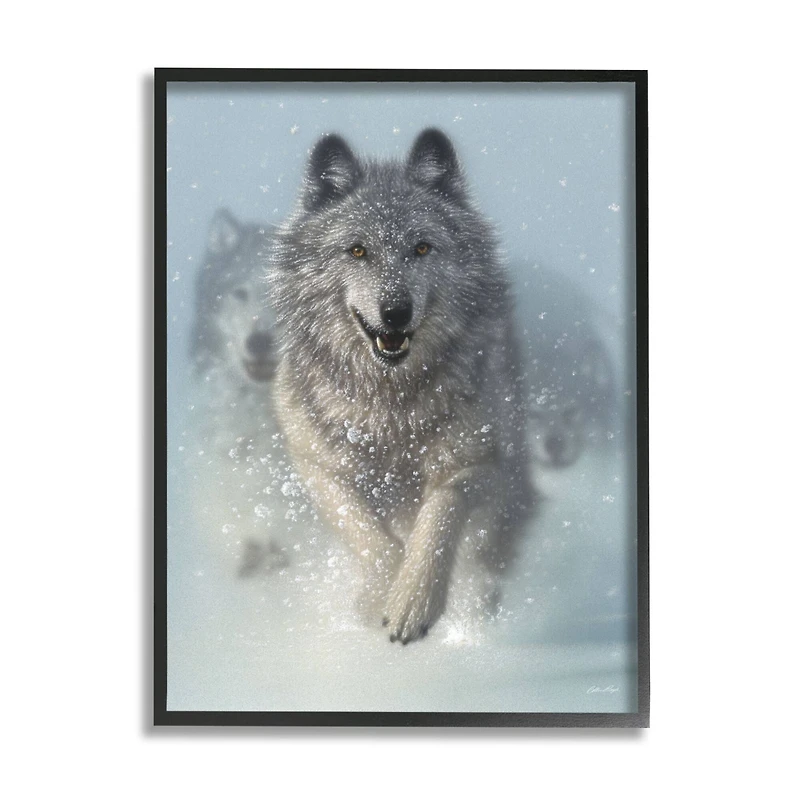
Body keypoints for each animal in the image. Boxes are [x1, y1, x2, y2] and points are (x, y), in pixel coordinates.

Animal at [269, 129, 533, 643]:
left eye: (422, 248)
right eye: (357, 251)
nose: (395, 312)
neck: (389, 407)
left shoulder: (479, 462)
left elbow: (440, 516)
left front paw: (413, 600)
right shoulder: (317, 466)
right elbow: (367, 533)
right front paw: (380, 595)